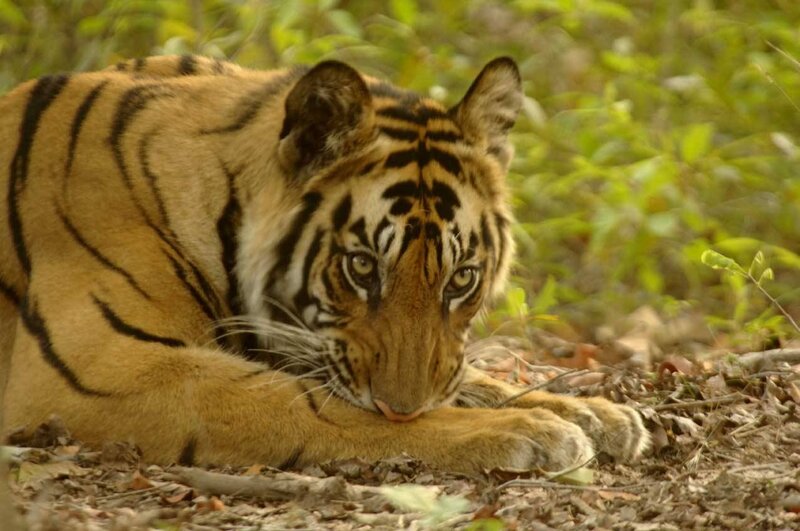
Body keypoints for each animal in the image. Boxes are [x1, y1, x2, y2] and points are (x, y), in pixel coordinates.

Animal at [0, 55, 649, 473]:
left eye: (461, 278)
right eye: (361, 267)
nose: (401, 406)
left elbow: (470, 378)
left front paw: (596, 414)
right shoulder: (95, 367)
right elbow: (312, 404)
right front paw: (530, 430)